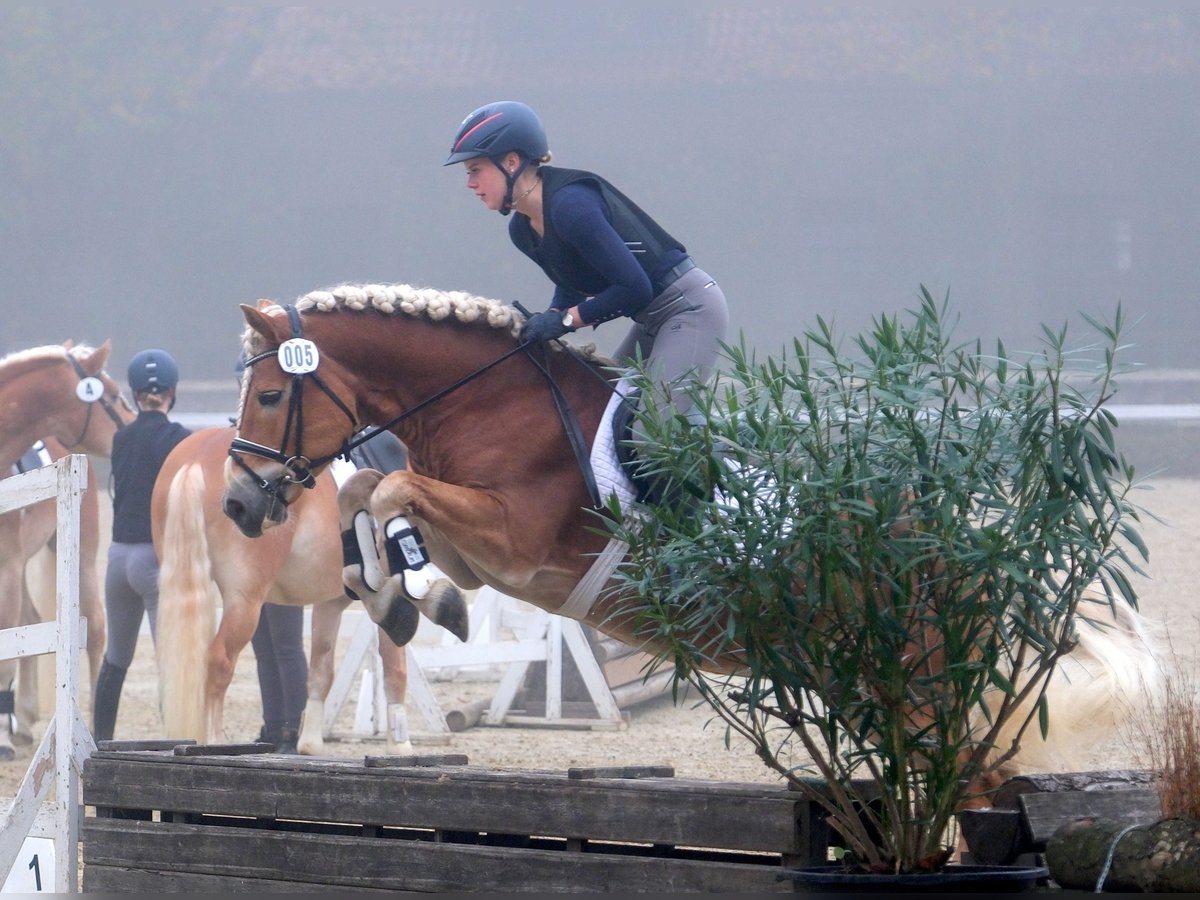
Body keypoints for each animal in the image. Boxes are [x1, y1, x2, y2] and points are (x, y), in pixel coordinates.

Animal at [0, 340, 135, 758]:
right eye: (114, 394)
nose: (133, 426)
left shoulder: (8, 567)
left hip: (84, 558)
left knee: (96, 628)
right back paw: (23, 717)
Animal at [150, 427, 463, 748]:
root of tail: (196, 457)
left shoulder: (330, 603)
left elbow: (321, 671)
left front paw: (310, 744)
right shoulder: (392, 600)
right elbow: (394, 667)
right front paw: (400, 744)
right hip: (244, 600)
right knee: (218, 661)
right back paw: (215, 741)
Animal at [223, 283, 1161, 782]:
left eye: (269, 395)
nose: (237, 505)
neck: (486, 400)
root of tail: (962, 550)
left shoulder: (510, 539)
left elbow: (392, 490)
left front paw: (420, 601)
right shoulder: (485, 553)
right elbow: (370, 492)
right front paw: (402, 599)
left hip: (921, 681)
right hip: (869, 682)